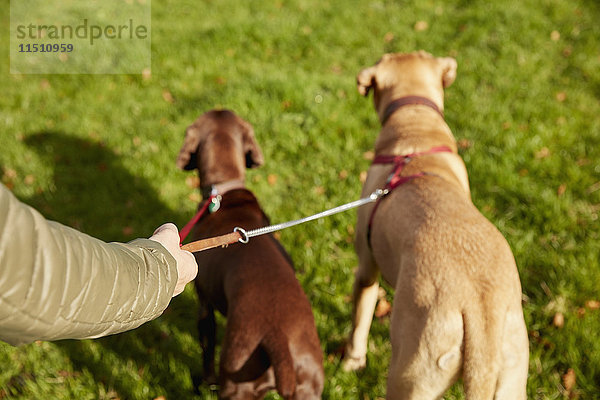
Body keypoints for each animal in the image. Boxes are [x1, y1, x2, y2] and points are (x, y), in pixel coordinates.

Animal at [176, 109, 324, 400]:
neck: (225, 194)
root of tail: (277, 338)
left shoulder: (204, 302)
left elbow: (206, 347)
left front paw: (205, 382)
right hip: (309, 387)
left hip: (236, 385)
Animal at [342, 51, 528, 398]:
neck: (415, 131)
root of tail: (481, 313)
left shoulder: (367, 267)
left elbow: (360, 321)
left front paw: (351, 361)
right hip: (512, 375)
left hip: (411, 375)